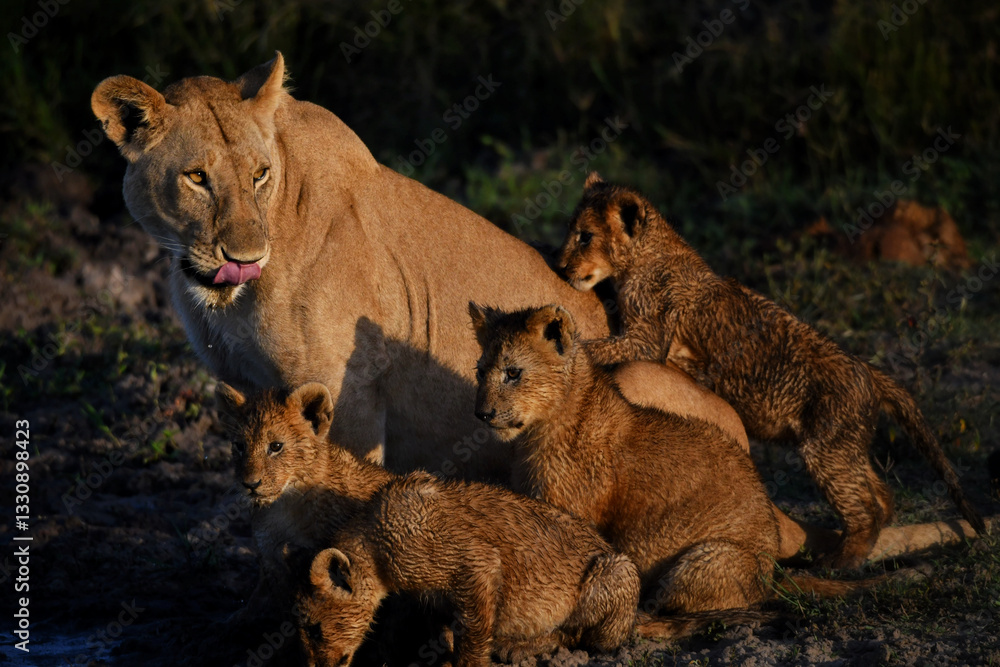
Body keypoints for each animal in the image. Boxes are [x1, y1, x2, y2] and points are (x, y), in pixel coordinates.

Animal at [554, 174, 987, 568]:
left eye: (585, 236)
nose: (560, 268)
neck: (645, 256)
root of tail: (867, 369)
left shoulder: (647, 339)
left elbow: (599, 347)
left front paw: (567, 344)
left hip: (825, 448)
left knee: (865, 507)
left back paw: (840, 563)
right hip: (846, 444)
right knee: (882, 495)